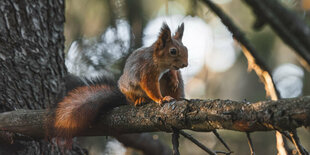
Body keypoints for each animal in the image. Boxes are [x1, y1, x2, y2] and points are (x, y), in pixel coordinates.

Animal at [53, 22, 188, 140]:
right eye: (173, 51)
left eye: (186, 48)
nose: (185, 64)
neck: (157, 62)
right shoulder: (146, 71)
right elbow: (150, 86)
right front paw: (161, 98)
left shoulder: (167, 70)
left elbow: (172, 73)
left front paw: (174, 80)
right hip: (128, 88)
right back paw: (140, 100)